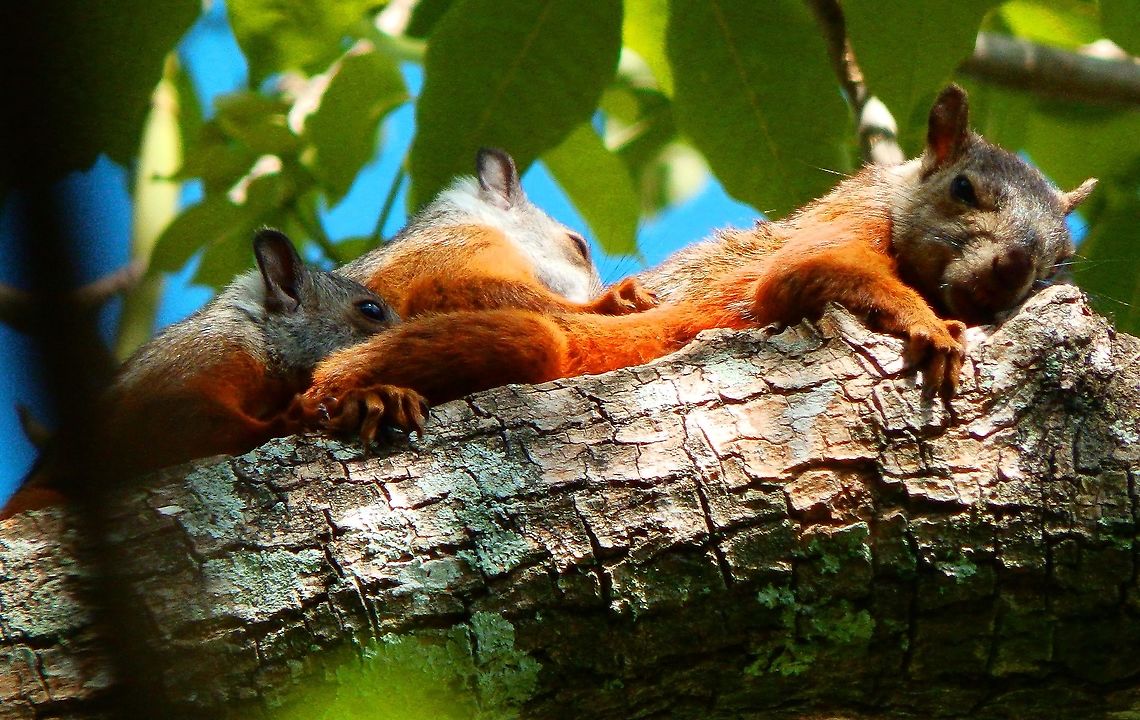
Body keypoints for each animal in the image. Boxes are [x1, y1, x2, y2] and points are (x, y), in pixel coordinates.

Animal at [293, 84, 1096, 441]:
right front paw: (926, 325)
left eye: (1062, 260)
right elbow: (807, 271)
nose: (1011, 271)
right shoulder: (847, 221)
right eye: (963, 189)